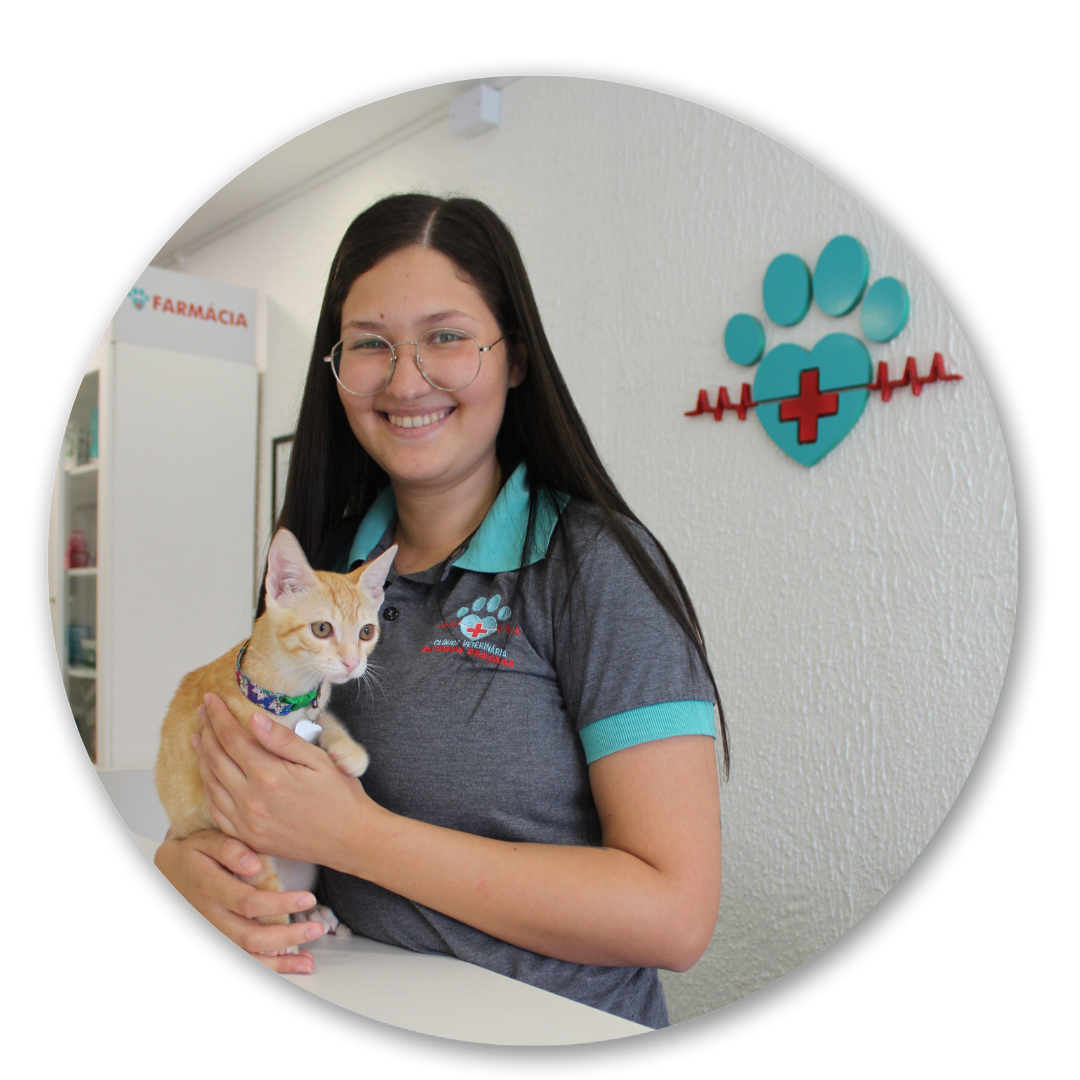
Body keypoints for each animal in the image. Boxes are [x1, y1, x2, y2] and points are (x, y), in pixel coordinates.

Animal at [155, 527, 396, 947]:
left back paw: (312, 910)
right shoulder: (234, 819)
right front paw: (277, 937)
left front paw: (348, 752)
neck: (287, 692)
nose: (353, 663)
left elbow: (325, 719)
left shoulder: (315, 703)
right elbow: (262, 884)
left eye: (367, 632)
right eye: (322, 629)